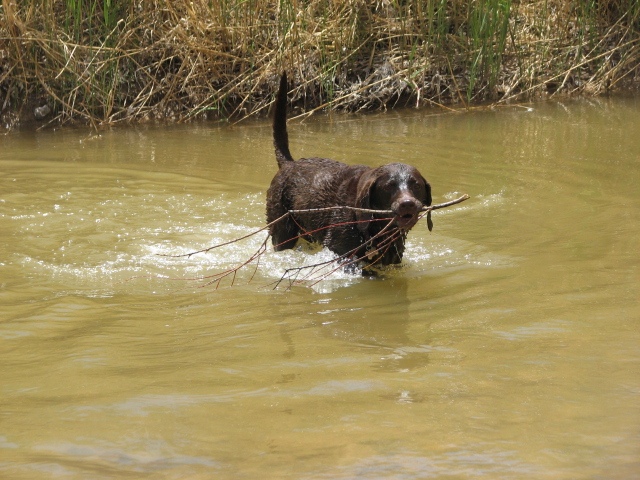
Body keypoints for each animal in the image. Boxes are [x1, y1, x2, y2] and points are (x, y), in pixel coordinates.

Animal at [262, 73, 432, 272]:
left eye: (416, 185)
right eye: (389, 186)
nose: (407, 204)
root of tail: (289, 163)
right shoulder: (341, 253)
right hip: (282, 230)